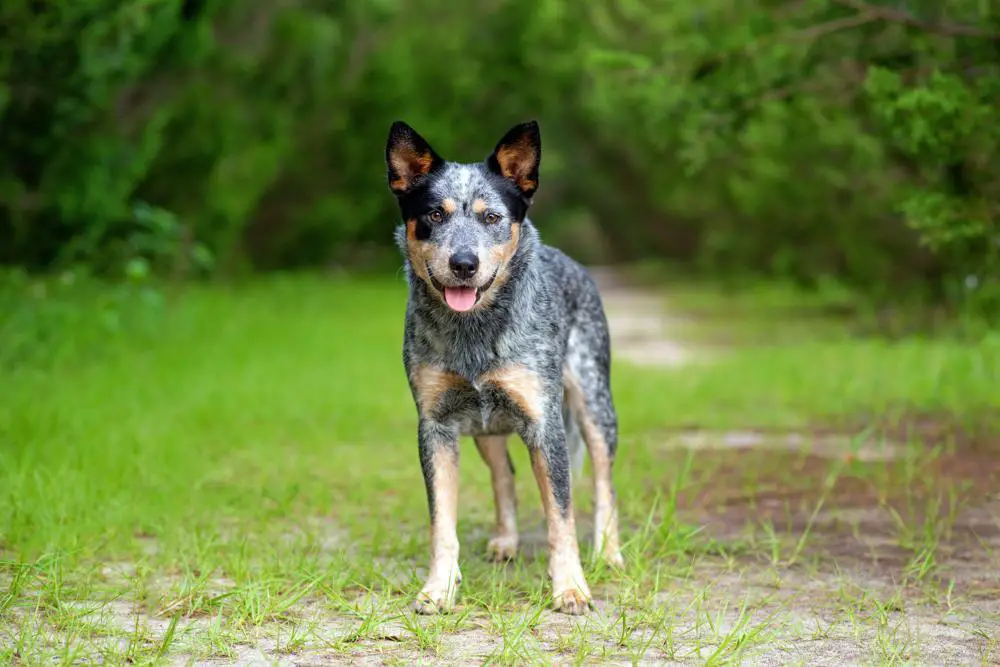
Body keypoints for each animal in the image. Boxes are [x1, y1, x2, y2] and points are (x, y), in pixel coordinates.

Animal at [386, 118, 620, 616]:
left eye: (492, 217)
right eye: (435, 215)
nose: (463, 263)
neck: (474, 331)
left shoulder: (544, 423)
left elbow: (561, 516)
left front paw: (571, 588)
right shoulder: (435, 425)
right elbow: (442, 522)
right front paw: (439, 588)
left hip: (595, 407)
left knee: (604, 483)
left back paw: (610, 553)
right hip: (484, 426)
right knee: (504, 475)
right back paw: (505, 541)